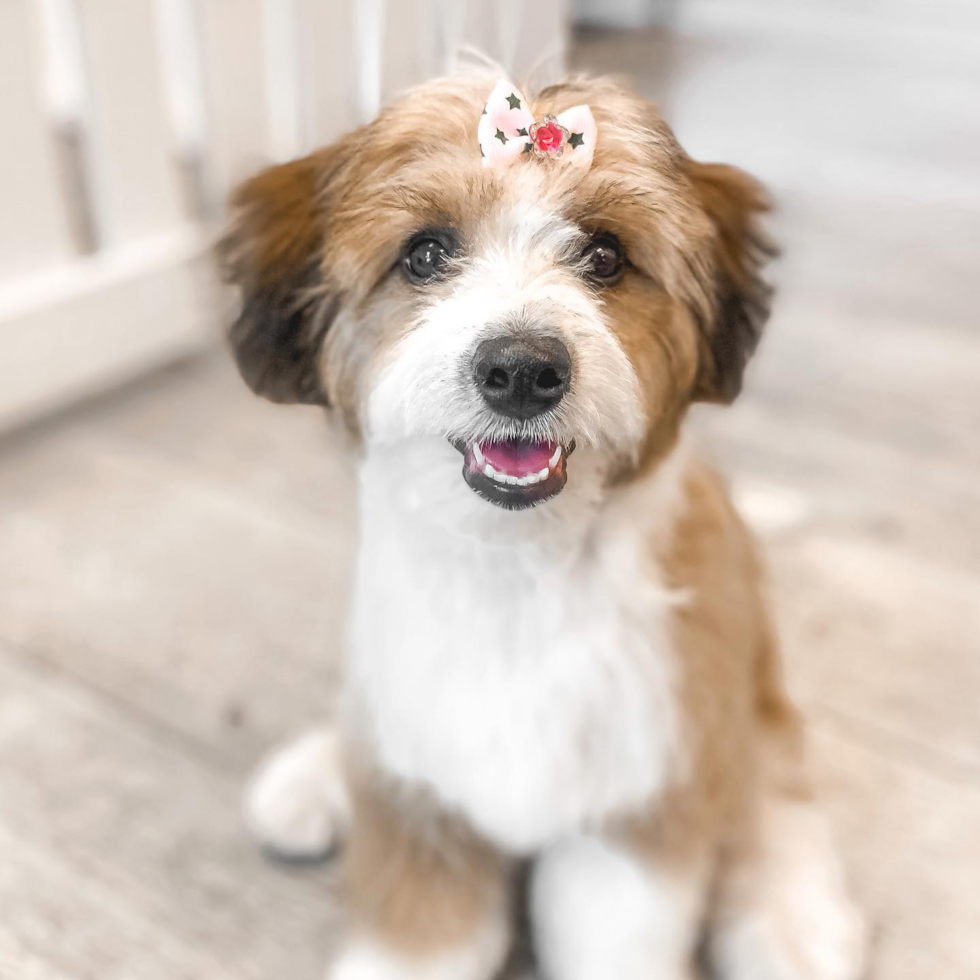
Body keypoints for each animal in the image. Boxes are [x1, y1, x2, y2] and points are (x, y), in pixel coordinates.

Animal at [216, 72, 864, 976]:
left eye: (605, 255)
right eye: (425, 253)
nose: (522, 370)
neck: (518, 574)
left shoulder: (633, 805)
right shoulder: (421, 802)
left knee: (775, 790)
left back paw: (791, 922)